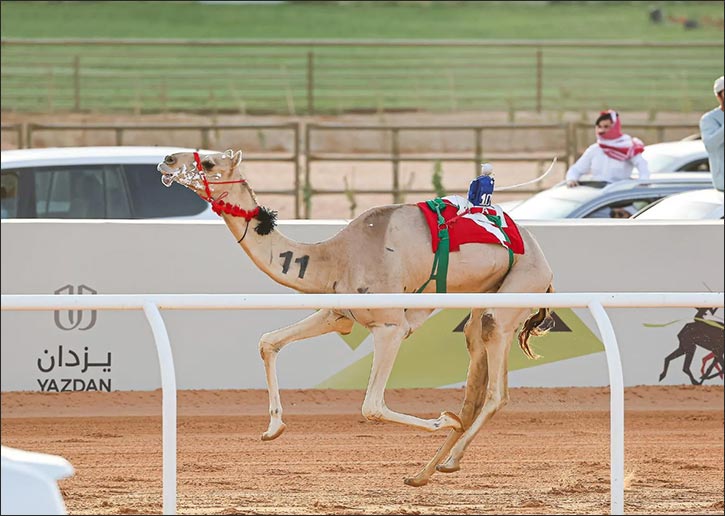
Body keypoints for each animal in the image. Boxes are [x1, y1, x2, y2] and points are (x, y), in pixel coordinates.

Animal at [157, 149, 555, 486]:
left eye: (210, 163)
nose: (167, 159)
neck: (336, 257)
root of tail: (545, 264)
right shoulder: (339, 314)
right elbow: (268, 342)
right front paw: (273, 428)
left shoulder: (392, 326)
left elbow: (372, 405)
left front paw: (440, 420)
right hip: (479, 303)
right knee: (473, 380)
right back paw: (425, 471)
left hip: (515, 292)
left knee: (496, 388)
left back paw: (448, 456)